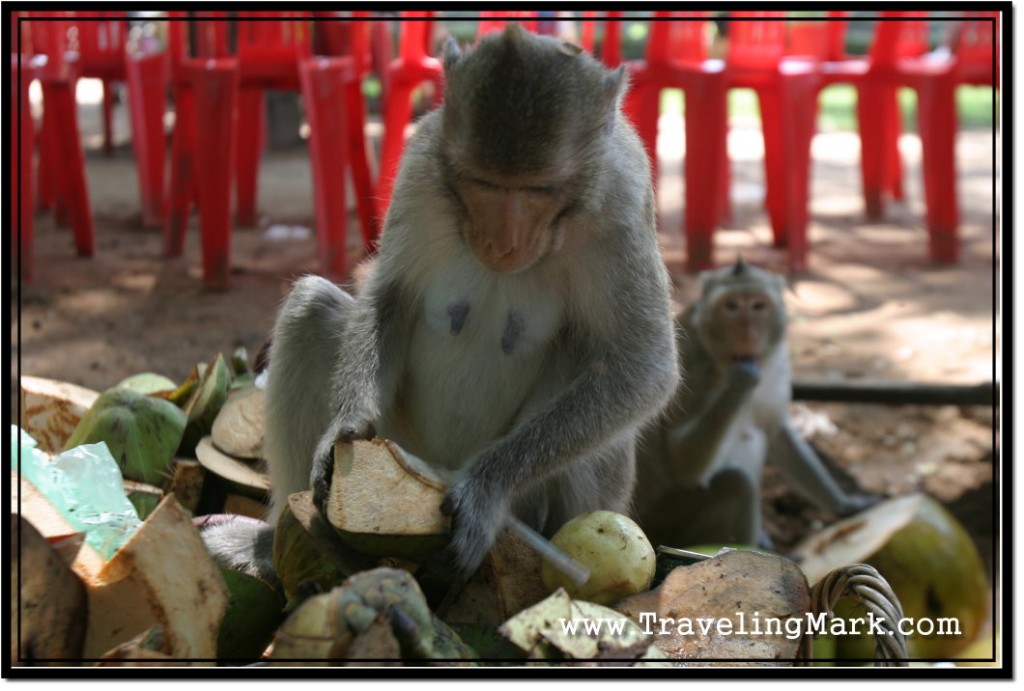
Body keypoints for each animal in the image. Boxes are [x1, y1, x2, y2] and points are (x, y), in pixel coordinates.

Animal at [199, 24, 679, 593]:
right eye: (479, 181)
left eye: (539, 188)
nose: (500, 243)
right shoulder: (422, 165)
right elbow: (391, 293)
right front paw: (344, 430)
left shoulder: (623, 201)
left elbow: (642, 367)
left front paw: (486, 490)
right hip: (405, 442)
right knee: (310, 309)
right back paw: (276, 542)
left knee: (601, 390)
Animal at [630, 260, 872, 552]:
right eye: (731, 306)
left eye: (758, 306)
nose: (747, 335)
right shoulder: (691, 368)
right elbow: (683, 463)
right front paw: (740, 381)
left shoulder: (777, 364)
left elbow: (778, 432)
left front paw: (844, 505)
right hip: (668, 524)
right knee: (737, 485)